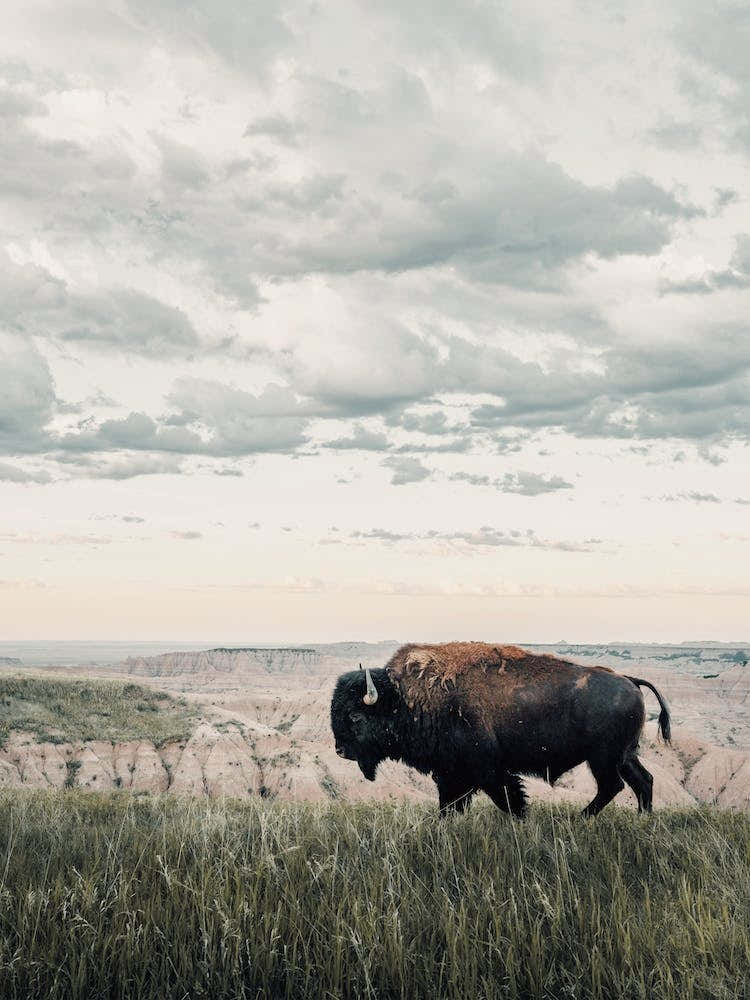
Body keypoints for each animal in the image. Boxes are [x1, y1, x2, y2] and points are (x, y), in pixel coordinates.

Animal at [330, 642, 671, 817]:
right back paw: (643, 818)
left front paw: (522, 820)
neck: (405, 699)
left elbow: (508, 799)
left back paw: (582, 817)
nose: (341, 751)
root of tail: (629, 680)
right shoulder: (451, 774)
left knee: (613, 786)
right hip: (625, 755)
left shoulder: (486, 771)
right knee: (643, 781)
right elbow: (449, 804)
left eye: (356, 717)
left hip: (603, 758)